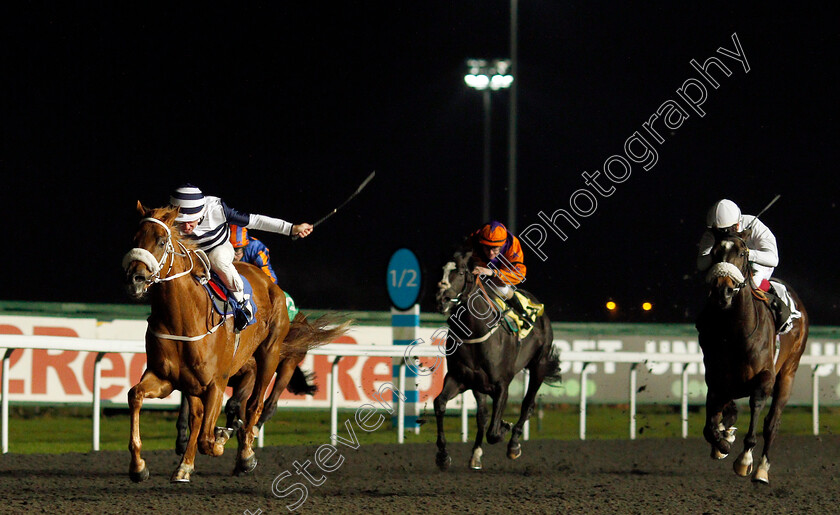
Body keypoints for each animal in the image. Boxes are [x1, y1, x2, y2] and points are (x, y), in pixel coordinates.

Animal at [124, 203, 348, 484]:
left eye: (162, 241)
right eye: (134, 238)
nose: (135, 278)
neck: (184, 318)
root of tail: (268, 283)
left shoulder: (217, 382)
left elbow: (210, 436)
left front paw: (224, 437)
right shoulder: (167, 377)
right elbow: (136, 395)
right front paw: (139, 466)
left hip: (273, 357)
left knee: (258, 405)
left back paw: (245, 454)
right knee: (201, 415)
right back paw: (188, 464)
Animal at [434, 251, 556, 472]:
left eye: (461, 272)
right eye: (441, 270)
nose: (442, 298)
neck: (475, 332)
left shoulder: (501, 385)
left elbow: (493, 432)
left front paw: (504, 428)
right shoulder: (459, 378)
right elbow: (440, 403)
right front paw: (443, 456)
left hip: (539, 365)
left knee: (528, 404)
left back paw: (514, 444)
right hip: (478, 384)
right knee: (482, 415)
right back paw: (476, 455)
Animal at [696, 232, 808, 486]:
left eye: (741, 252)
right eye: (715, 252)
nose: (724, 291)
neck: (734, 331)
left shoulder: (764, 378)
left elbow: (756, 408)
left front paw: (744, 459)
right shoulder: (715, 379)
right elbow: (710, 427)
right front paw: (723, 441)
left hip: (788, 372)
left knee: (772, 423)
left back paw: (761, 470)